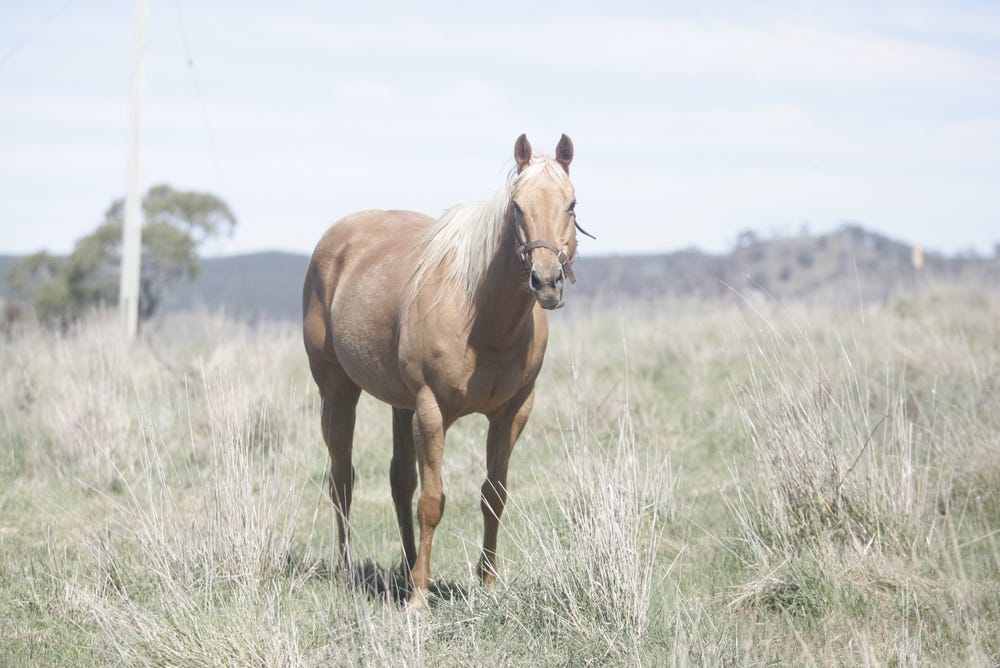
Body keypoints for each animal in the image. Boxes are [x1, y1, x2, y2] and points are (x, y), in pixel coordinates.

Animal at [302, 134, 591, 610]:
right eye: (517, 206)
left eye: (571, 204)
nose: (547, 282)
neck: (482, 315)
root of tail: (335, 239)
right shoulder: (431, 410)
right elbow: (432, 500)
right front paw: (420, 597)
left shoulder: (513, 412)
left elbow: (493, 494)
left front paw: (488, 584)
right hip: (338, 391)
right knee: (342, 480)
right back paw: (348, 571)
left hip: (400, 406)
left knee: (399, 481)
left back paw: (406, 565)